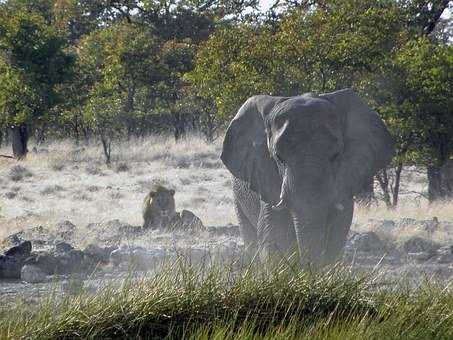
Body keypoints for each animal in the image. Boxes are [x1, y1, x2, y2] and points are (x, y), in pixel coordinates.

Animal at [221, 87, 394, 268]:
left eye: (336, 156)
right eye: (278, 158)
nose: (306, 268)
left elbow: (337, 231)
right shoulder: (267, 176)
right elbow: (274, 231)